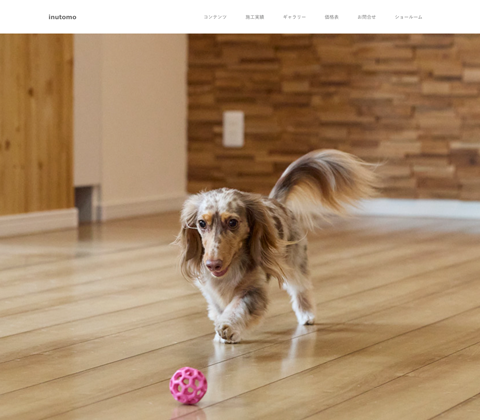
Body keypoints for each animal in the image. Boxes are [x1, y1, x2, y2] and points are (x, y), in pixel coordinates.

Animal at [176, 150, 377, 343]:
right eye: (202, 223)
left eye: (232, 222)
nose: (213, 264)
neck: (231, 267)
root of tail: (278, 202)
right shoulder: (213, 293)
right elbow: (220, 310)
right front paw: (220, 331)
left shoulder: (254, 289)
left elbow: (239, 309)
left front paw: (228, 328)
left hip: (295, 263)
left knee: (302, 288)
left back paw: (307, 314)